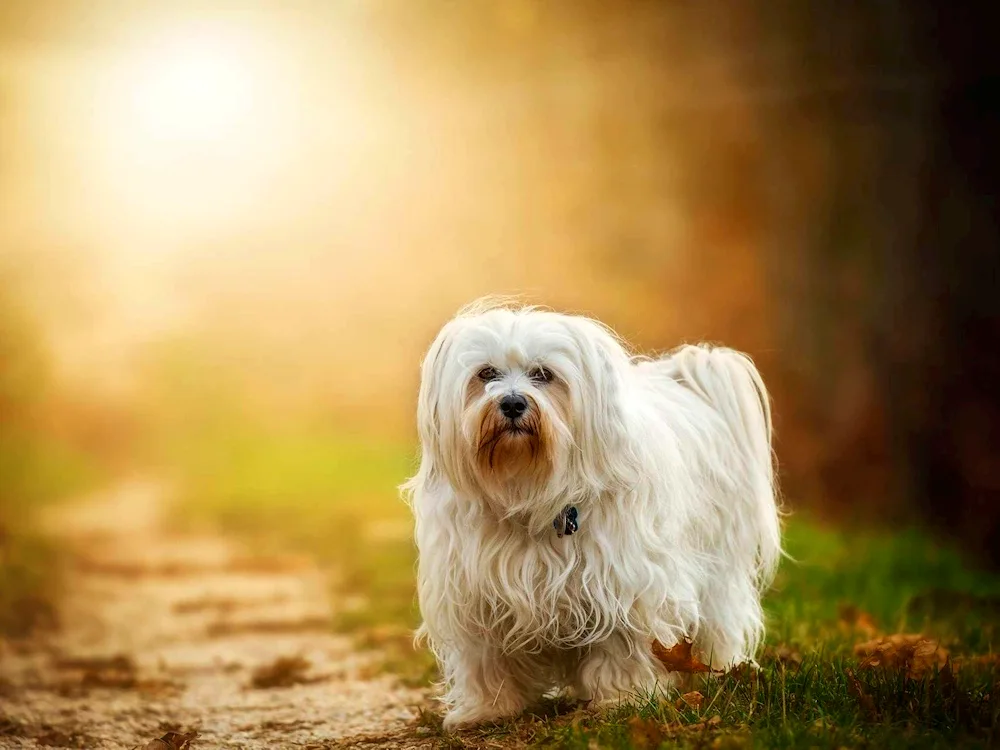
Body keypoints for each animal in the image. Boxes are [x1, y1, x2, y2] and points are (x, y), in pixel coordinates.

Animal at [400, 300, 780, 728]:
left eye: (543, 375)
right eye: (486, 374)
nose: (512, 403)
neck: (528, 488)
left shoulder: (622, 584)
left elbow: (621, 647)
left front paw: (623, 699)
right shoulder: (475, 593)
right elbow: (486, 659)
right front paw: (487, 709)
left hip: (717, 571)